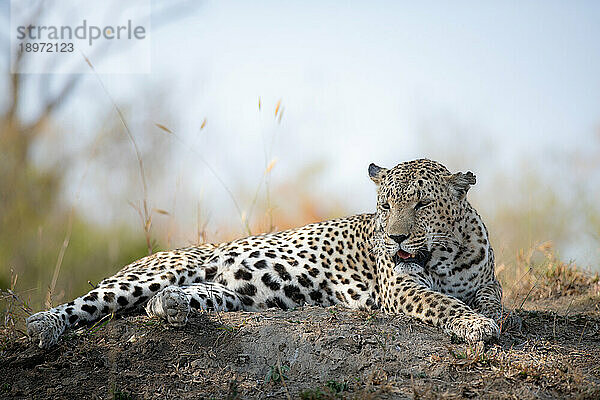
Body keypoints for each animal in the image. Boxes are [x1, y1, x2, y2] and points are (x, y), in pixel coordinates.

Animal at [25, 158, 508, 348]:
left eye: (421, 205)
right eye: (385, 206)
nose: (396, 239)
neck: (446, 255)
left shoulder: (487, 280)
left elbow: (492, 297)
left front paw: (491, 315)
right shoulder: (402, 288)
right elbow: (443, 303)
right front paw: (475, 324)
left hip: (226, 295)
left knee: (160, 305)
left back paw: (171, 307)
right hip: (152, 273)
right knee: (85, 304)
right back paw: (42, 326)